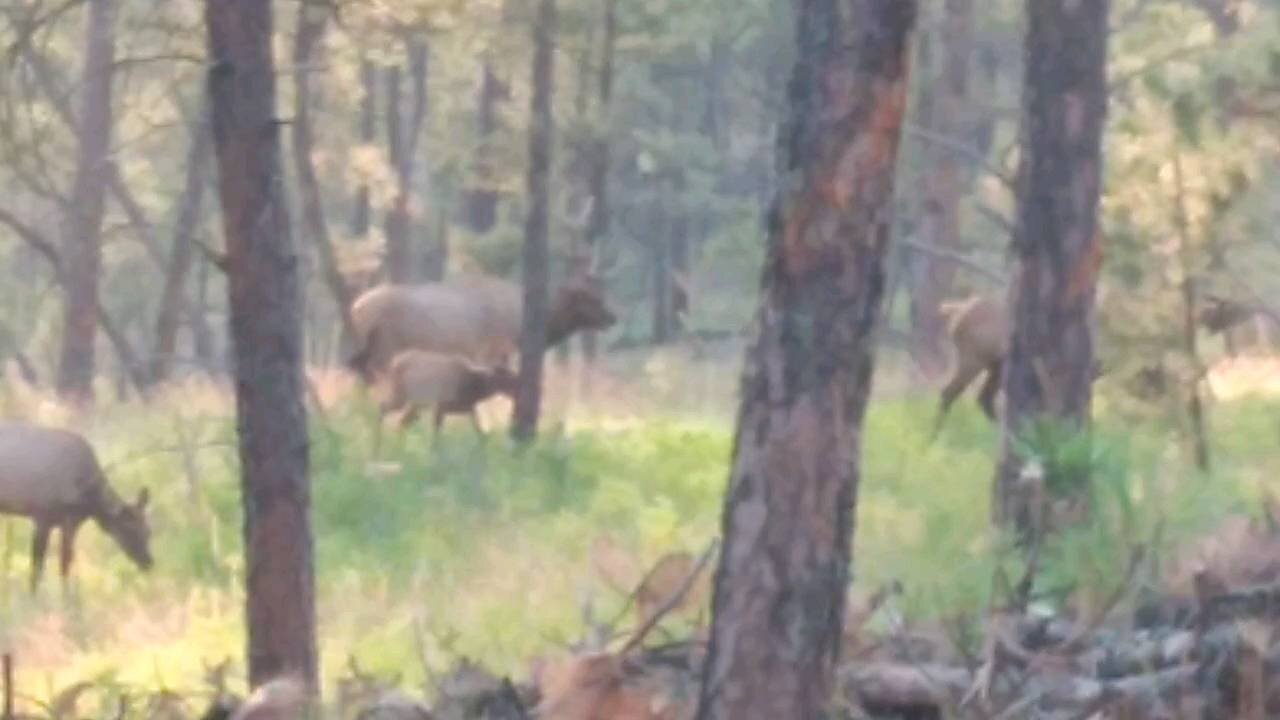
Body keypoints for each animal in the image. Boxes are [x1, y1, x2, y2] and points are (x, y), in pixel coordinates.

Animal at [0, 420, 153, 589]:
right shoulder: (42, 516)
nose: (148, 562)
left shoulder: (71, 522)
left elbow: (65, 565)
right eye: (129, 529)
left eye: (148, 531)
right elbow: (38, 567)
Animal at [345, 269, 614, 381]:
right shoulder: (492, 351)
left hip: (367, 349)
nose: (613, 318)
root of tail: (356, 309)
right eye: (591, 298)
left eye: (601, 294)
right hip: (386, 346)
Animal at [378, 348, 519, 430]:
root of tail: (393, 362)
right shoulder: (440, 405)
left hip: (416, 403)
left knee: (401, 422)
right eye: (507, 379)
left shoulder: (469, 409)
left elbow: (480, 432)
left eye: (514, 377)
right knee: (383, 407)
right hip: (400, 394)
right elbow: (436, 434)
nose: (516, 393)